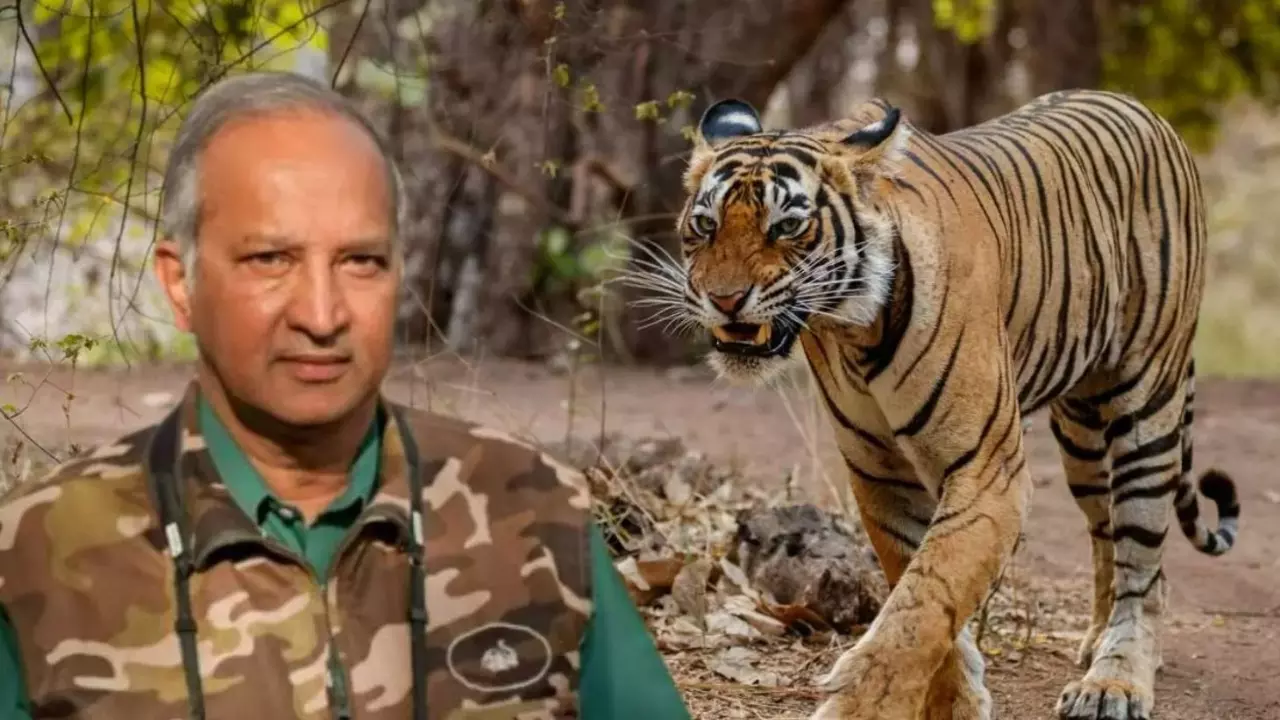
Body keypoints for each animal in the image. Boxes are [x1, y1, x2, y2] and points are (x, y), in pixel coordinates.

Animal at [636, 89, 1243, 720]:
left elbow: (927, 598)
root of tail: (1139, 107)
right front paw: (957, 699)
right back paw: (1098, 639)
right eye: (704, 225)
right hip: (1082, 434)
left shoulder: (990, 470)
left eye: (788, 226)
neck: (854, 331)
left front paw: (863, 705)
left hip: (1145, 404)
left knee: (1142, 556)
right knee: (1111, 539)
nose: (724, 300)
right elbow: (920, 583)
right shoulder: (882, 473)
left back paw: (1115, 680)